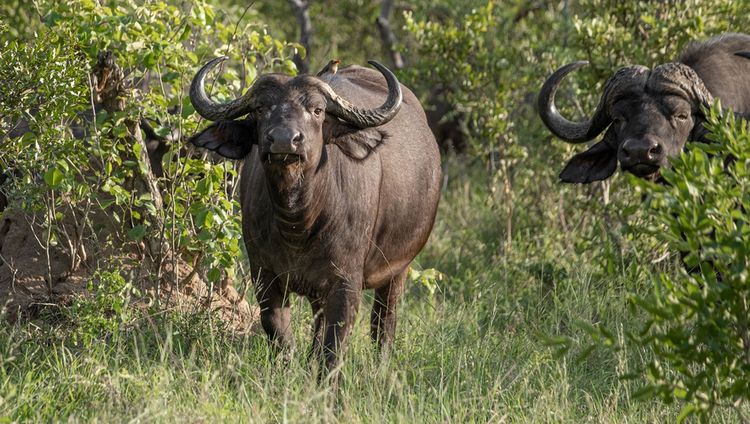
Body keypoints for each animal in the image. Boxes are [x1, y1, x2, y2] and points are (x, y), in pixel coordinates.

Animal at [188, 58, 444, 380]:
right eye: (260, 108)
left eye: (318, 110)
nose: (284, 140)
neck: (298, 224)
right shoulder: (265, 276)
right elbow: (279, 334)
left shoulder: (345, 283)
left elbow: (334, 345)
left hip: (399, 268)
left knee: (384, 320)